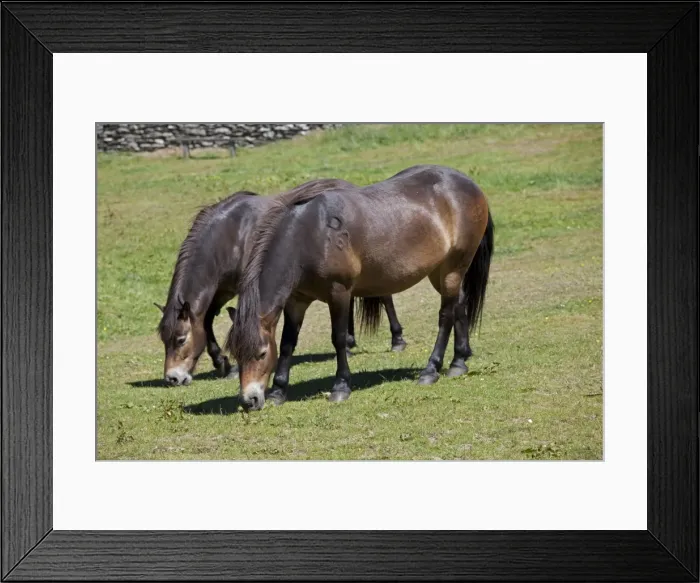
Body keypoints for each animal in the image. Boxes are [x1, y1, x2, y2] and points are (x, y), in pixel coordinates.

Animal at [155, 180, 407, 386]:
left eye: (180, 340)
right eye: (164, 341)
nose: (172, 378)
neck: (229, 236)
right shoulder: (223, 290)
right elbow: (206, 321)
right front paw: (224, 364)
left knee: (384, 295)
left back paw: (396, 339)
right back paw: (351, 341)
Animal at [227, 164, 494, 411]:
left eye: (261, 353)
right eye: (236, 355)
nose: (249, 401)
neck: (309, 236)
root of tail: (468, 184)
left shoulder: (339, 293)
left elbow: (338, 339)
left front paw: (341, 387)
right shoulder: (296, 301)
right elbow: (287, 344)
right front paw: (278, 392)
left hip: (452, 268)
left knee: (446, 315)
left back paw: (431, 370)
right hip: (440, 272)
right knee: (460, 304)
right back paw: (459, 362)